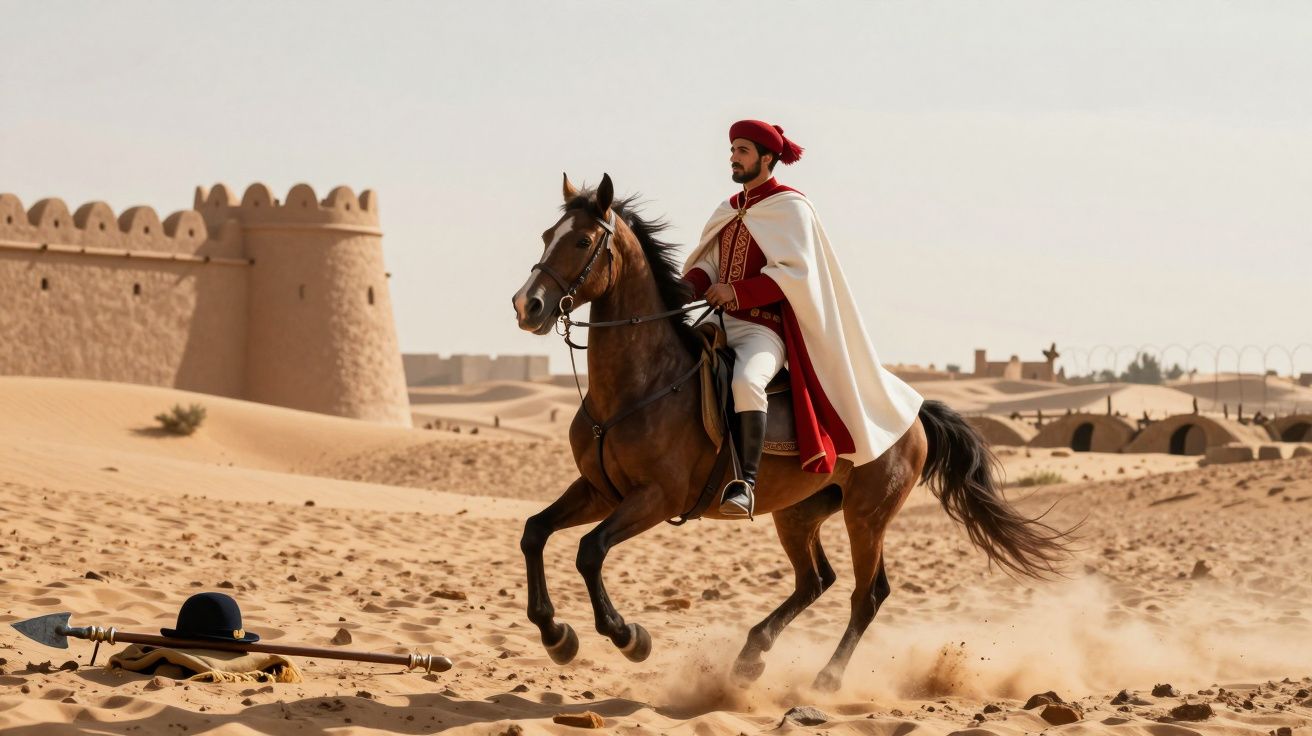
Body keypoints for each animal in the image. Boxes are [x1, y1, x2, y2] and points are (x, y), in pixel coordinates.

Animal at [511, 173, 1073, 691]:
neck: (640, 385)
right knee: (815, 581)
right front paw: (556, 635)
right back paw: (750, 656)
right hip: (799, 512)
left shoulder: (656, 498)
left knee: (866, 595)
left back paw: (827, 677)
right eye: (546, 235)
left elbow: (590, 551)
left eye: (582, 241)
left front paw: (628, 636)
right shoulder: (601, 490)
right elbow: (535, 531)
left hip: (866, 518)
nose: (526, 306)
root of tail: (912, 414)